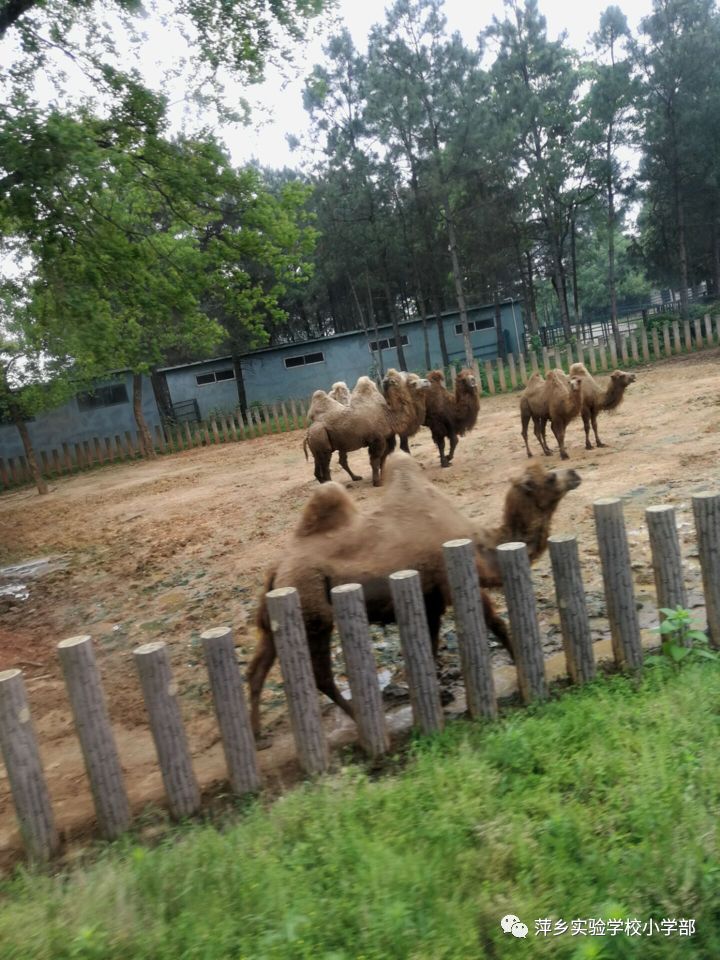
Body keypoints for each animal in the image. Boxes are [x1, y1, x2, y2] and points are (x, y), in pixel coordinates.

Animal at [250, 450, 584, 736]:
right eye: (549, 478)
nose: (574, 473)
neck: (481, 545)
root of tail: (276, 569)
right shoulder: (454, 579)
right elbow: (496, 624)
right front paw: (521, 664)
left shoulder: (429, 598)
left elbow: (431, 645)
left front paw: (438, 693)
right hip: (313, 608)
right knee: (320, 673)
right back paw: (363, 719)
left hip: (280, 613)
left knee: (258, 667)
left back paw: (256, 735)